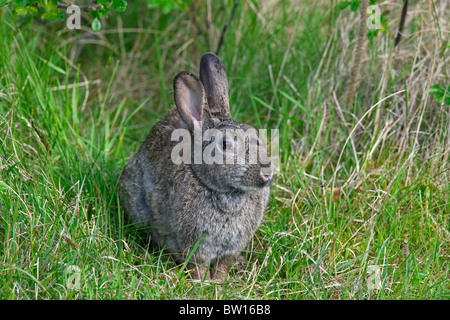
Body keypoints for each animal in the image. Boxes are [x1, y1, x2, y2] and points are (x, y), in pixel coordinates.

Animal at [119, 52, 272, 280]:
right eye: (225, 145)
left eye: (256, 134)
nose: (267, 175)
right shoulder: (192, 244)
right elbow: (197, 265)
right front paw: (203, 283)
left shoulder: (230, 247)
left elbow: (222, 265)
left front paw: (219, 281)